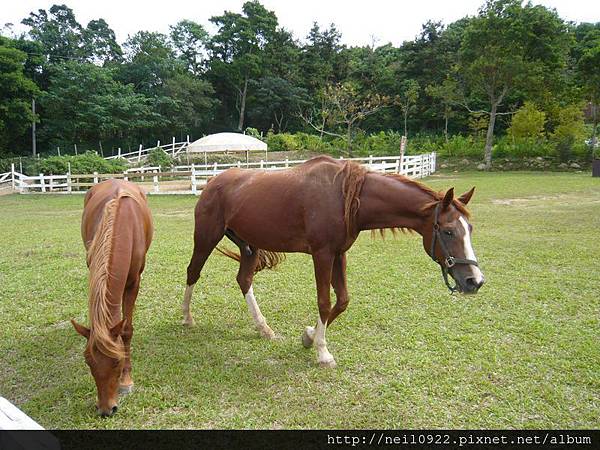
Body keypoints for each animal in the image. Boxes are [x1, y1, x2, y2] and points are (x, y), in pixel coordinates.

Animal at [72, 178, 154, 414]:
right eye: (88, 361)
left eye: (117, 361)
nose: (106, 409)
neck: (122, 226)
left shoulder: (134, 282)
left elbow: (126, 330)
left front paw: (126, 381)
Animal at [182, 156, 482, 368]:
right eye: (448, 231)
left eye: (469, 228)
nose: (474, 281)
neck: (345, 197)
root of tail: (212, 183)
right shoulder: (323, 254)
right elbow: (325, 302)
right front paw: (322, 352)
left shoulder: (339, 254)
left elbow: (343, 300)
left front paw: (308, 336)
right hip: (206, 238)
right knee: (193, 272)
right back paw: (187, 318)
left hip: (249, 246)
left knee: (244, 280)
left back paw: (263, 328)